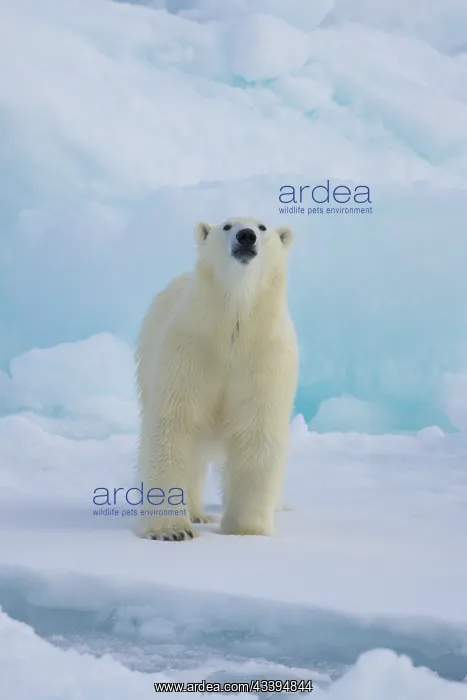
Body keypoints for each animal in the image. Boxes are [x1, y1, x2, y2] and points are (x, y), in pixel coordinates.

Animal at [135, 217, 298, 541]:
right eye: (227, 225)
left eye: (262, 227)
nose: (246, 236)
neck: (232, 330)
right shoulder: (189, 351)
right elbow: (175, 424)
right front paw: (171, 530)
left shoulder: (264, 359)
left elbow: (257, 431)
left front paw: (247, 529)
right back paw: (197, 512)